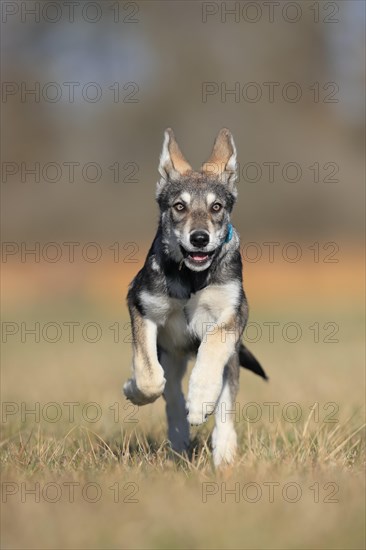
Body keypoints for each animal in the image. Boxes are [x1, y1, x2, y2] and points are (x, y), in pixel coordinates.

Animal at [123, 128, 266, 466]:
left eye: (216, 207)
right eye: (179, 206)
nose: (199, 239)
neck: (192, 278)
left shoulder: (232, 313)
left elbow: (212, 348)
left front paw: (201, 399)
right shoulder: (142, 306)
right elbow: (148, 374)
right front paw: (134, 389)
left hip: (232, 361)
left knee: (225, 406)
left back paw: (224, 454)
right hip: (171, 353)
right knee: (171, 394)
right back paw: (178, 439)